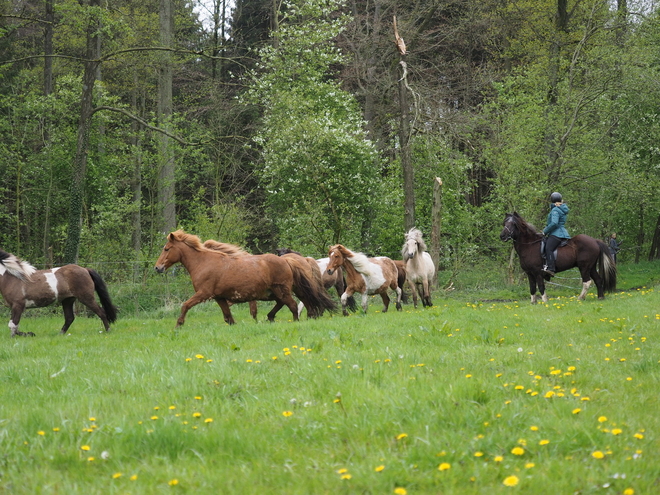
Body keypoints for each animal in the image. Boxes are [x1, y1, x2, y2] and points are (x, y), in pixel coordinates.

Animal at [155, 232, 336, 328]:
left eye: (167, 249)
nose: (157, 268)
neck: (203, 263)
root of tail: (286, 261)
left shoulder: (203, 293)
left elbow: (185, 305)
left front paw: (178, 325)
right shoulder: (219, 297)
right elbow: (227, 316)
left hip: (281, 290)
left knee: (292, 305)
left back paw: (294, 321)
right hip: (275, 292)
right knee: (292, 303)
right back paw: (272, 317)